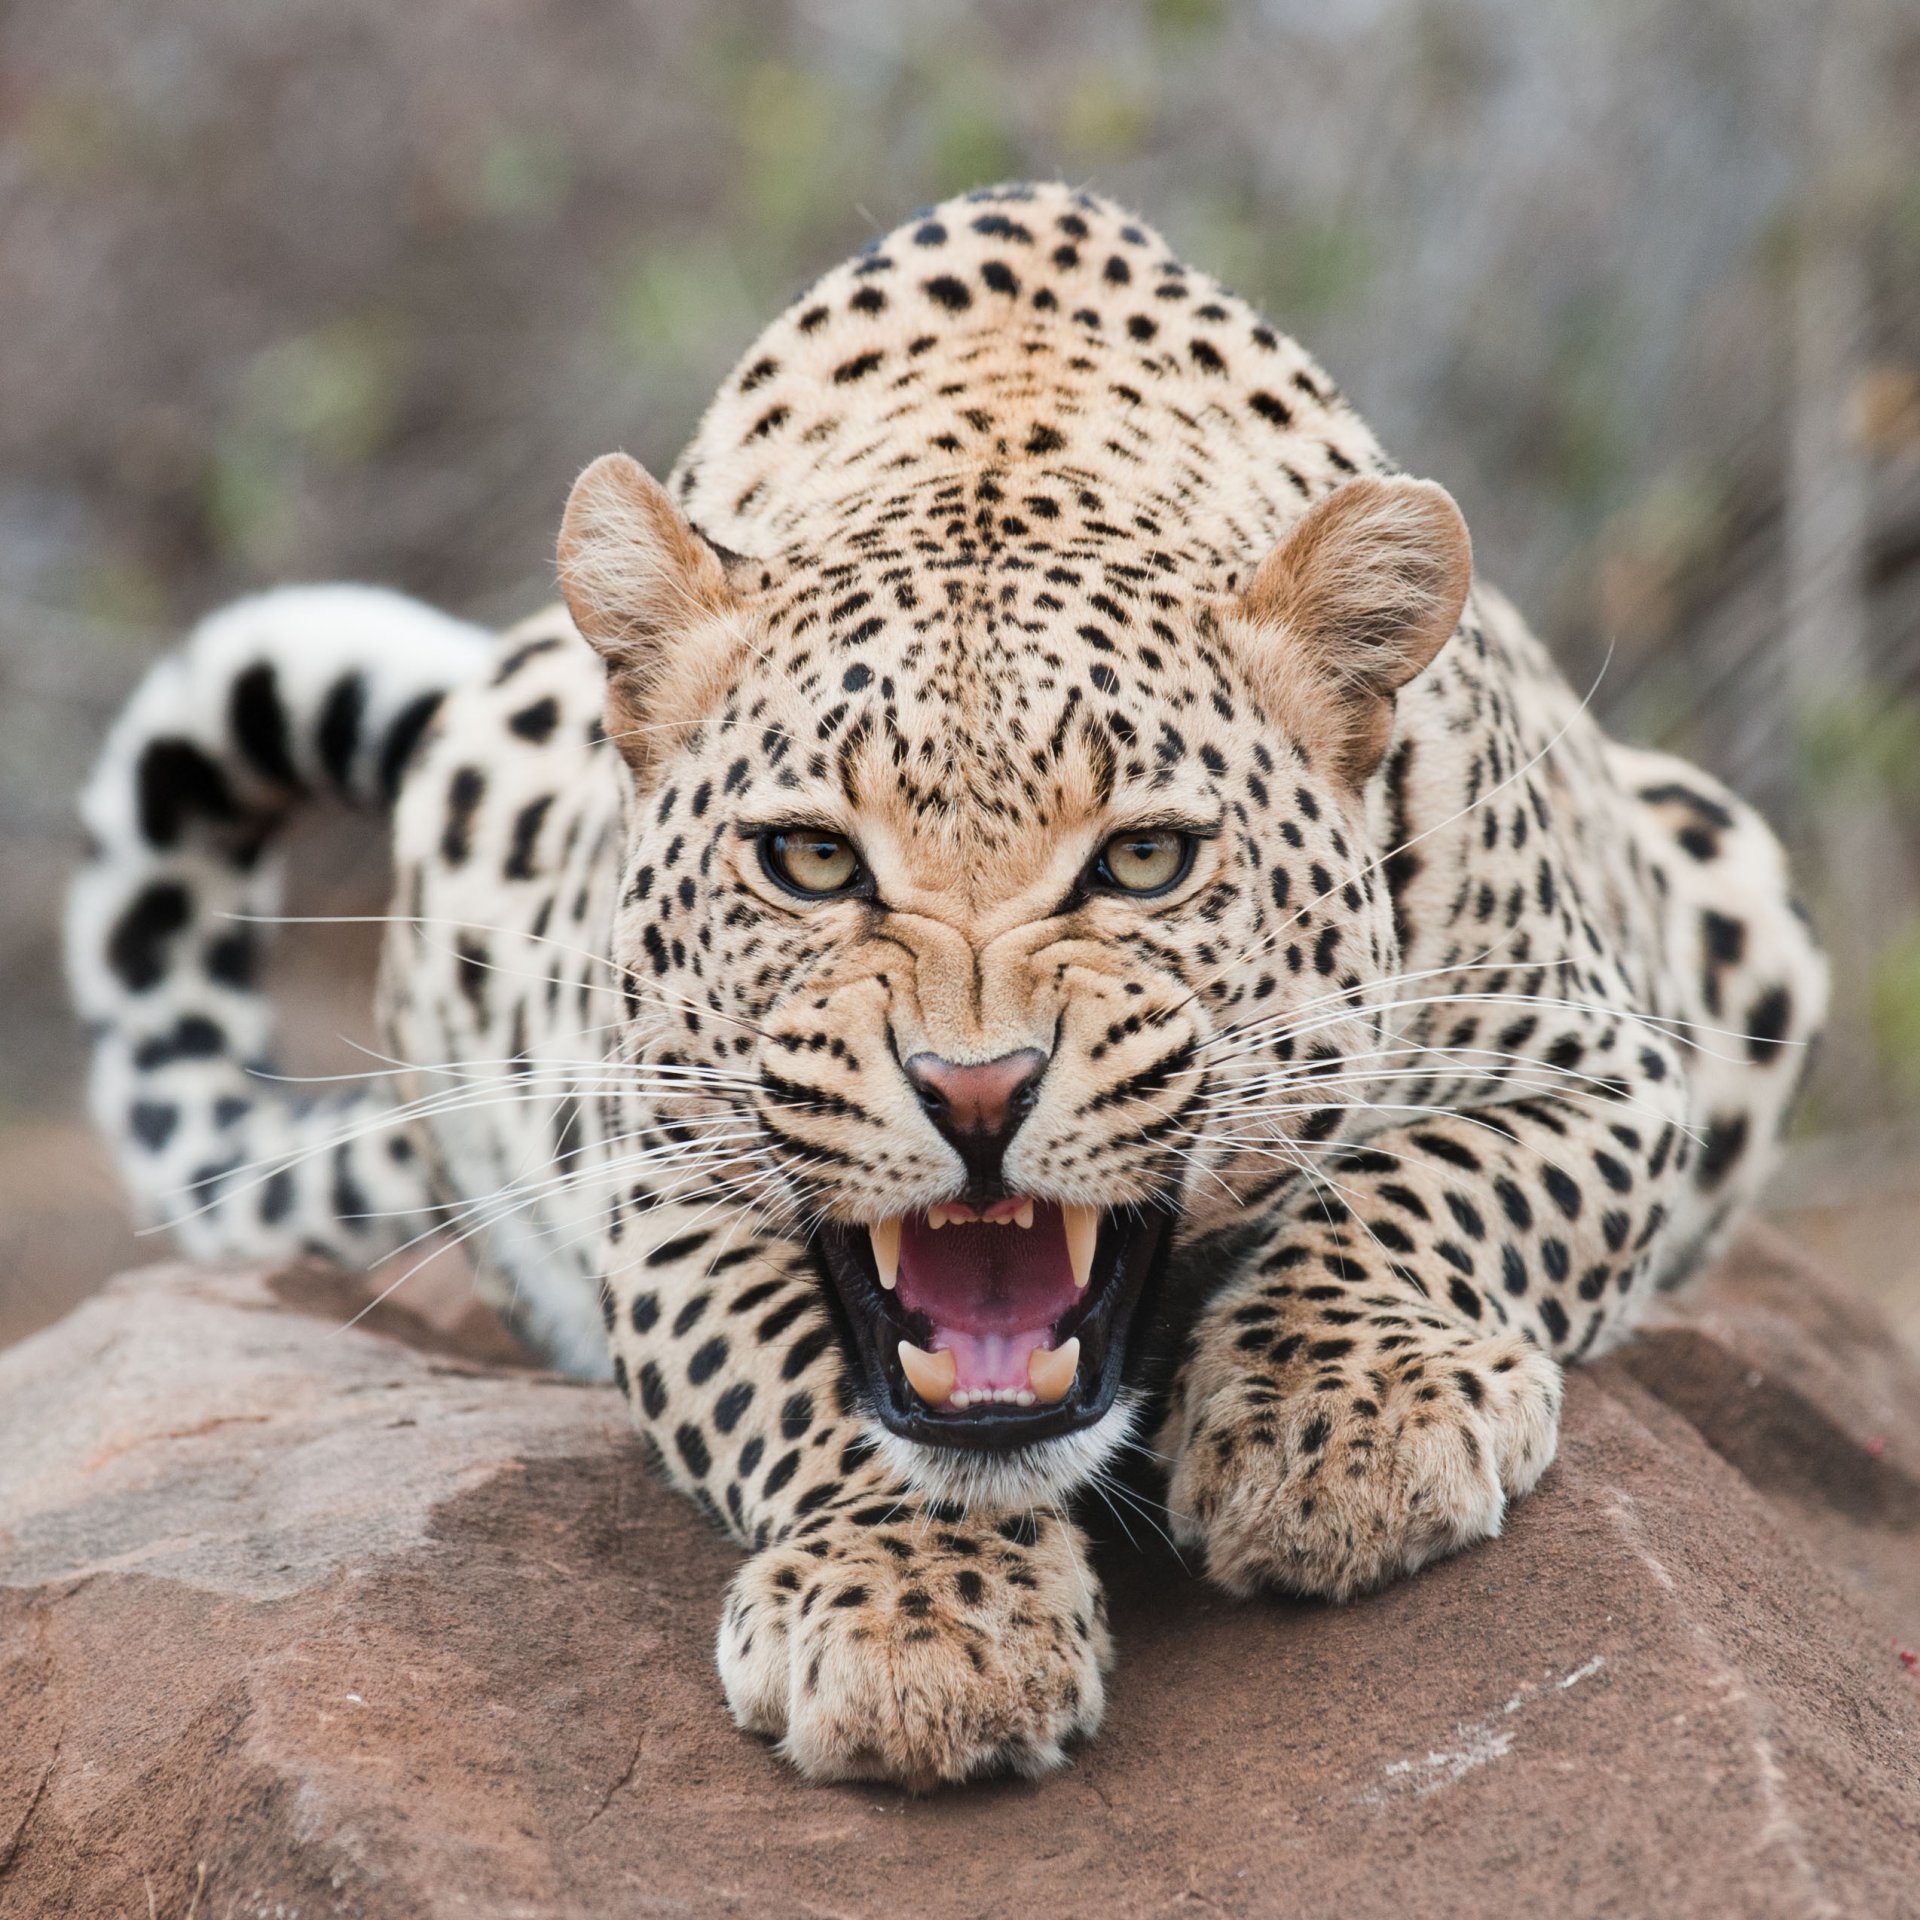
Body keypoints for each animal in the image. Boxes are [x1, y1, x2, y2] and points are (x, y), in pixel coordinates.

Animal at [69, 181, 1827, 1789]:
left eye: (1142, 861)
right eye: (810, 862)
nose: (975, 1093)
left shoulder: (1603, 1059)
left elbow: (1429, 1184)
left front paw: (1343, 1429)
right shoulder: (660, 1172)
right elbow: (795, 1375)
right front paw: (920, 1620)